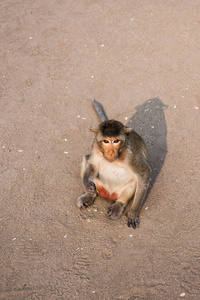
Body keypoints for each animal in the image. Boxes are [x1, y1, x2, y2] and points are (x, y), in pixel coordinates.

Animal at [77, 99, 151, 229]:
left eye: (116, 141)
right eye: (106, 141)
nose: (111, 152)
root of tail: (108, 194)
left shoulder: (131, 154)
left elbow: (144, 174)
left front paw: (133, 214)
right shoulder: (95, 146)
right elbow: (93, 165)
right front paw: (87, 185)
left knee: (135, 180)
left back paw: (119, 204)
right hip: (100, 185)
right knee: (85, 158)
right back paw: (89, 196)